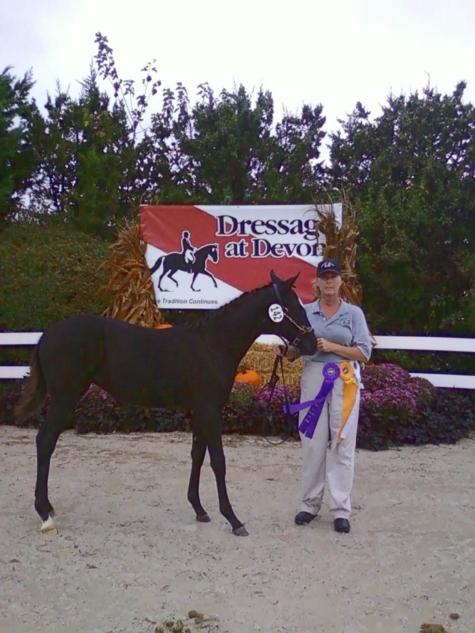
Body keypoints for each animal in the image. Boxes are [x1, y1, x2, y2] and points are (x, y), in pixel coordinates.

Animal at [14, 271, 317, 536]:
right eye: (292, 305)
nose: (312, 343)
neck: (213, 344)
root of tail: (47, 335)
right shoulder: (210, 410)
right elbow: (218, 461)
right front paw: (234, 519)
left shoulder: (201, 410)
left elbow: (198, 455)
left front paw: (199, 509)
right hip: (64, 398)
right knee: (45, 441)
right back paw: (44, 513)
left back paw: (48, 507)